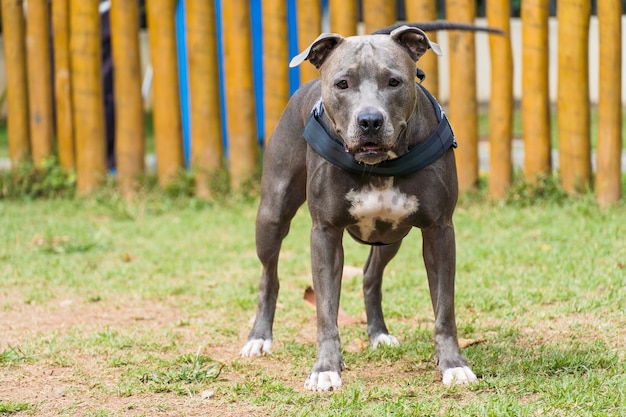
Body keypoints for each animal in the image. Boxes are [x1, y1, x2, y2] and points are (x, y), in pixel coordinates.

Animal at [241, 22, 490, 390]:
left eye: (394, 81)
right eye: (342, 84)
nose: (370, 120)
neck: (380, 166)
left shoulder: (439, 231)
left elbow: (444, 308)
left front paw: (453, 364)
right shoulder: (325, 233)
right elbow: (326, 310)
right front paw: (325, 369)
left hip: (391, 236)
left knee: (371, 276)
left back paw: (379, 334)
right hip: (272, 215)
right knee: (268, 277)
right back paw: (259, 337)